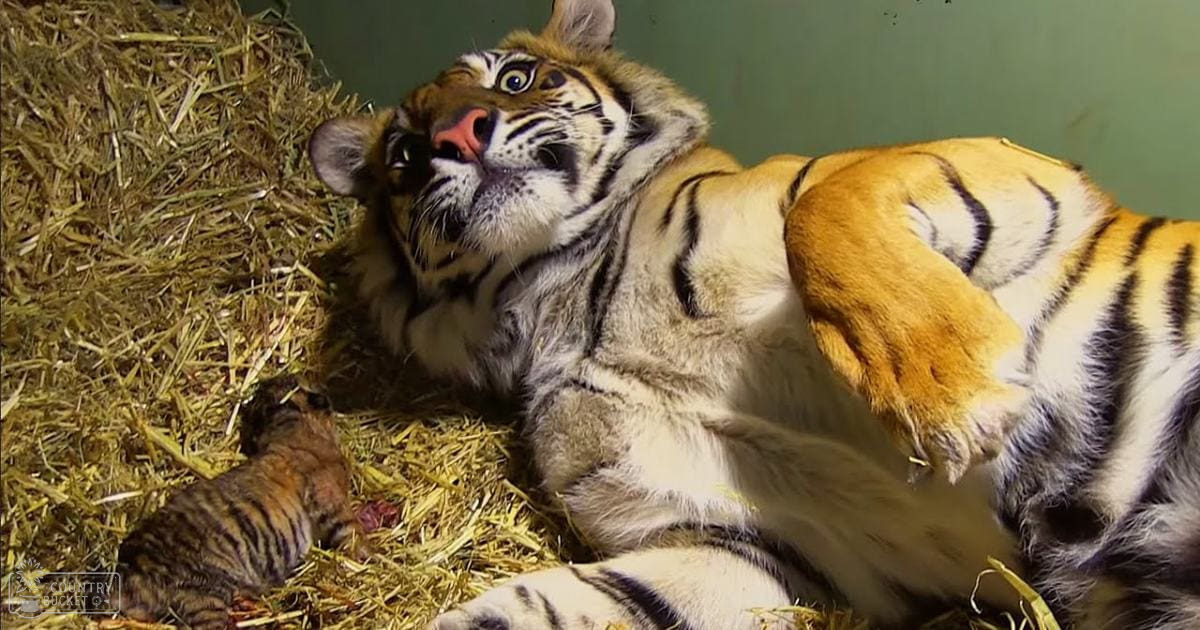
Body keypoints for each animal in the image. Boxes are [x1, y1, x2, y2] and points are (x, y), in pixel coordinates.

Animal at [116, 376, 366, 629]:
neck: (289, 424)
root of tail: (132, 569)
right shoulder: (331, 500)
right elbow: (353, 534)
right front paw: (368, 558)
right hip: (202, 593)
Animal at [306, 0, 1199, 627]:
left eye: (517, 78)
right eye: (403, 156)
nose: (458, 134)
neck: (560, 295)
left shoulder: (1007, 166)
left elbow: (823, 212)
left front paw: (955, 397)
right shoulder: (757, 547)